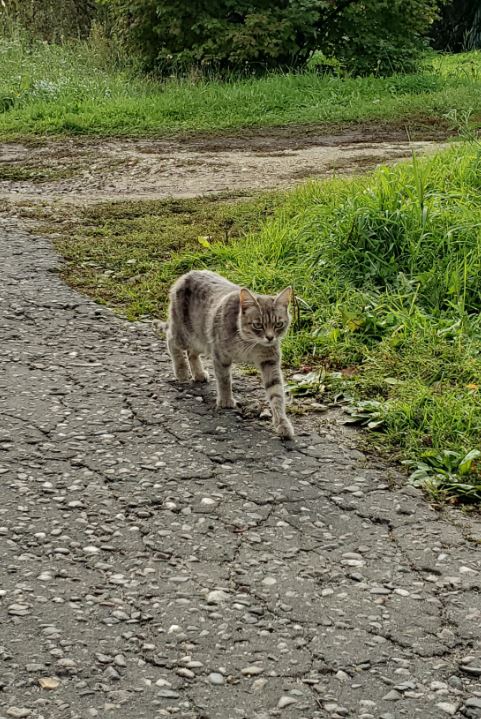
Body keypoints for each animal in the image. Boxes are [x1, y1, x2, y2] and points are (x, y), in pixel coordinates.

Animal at [156, 270, 294, 438]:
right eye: (258, 325)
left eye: (278, 324)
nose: (270, 337)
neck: (249, 343)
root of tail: (186, 275)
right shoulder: (220, 354)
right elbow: (224, 379)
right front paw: (226, 399)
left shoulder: (270, 361)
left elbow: (276, 393)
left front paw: (282, 422)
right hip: (185, 334)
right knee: (171, 340)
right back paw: (181, 370)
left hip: (201, 339)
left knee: (191, 353)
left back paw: (198, 373)